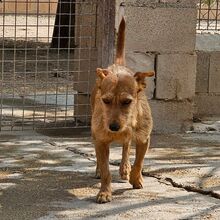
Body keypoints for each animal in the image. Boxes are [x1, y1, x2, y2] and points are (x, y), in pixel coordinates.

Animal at [90, 18, 154, 204]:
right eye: (105, 101)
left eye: (127, 102)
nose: (113, 127)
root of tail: (117, 65)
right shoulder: (101, 141)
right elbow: (105, 170)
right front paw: (104, 192)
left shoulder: (144, 139)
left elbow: (139, 163)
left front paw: (136, 178)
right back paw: (99, 169)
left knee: (126, 147)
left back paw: (125, 168)